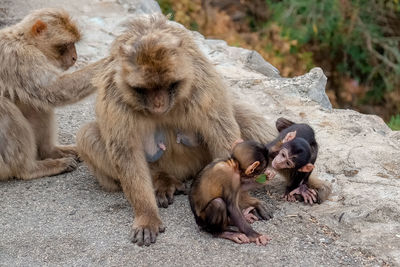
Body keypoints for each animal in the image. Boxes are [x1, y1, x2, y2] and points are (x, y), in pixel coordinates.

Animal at [0, 8, 104, 181]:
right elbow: (55, 89)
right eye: (66, 44)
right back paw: (29, 169)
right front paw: (113, 60)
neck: (25, 41)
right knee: (5, 107)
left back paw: (50, 151)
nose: (75, 58)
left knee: (36, 104)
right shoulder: (20, 57)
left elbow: (47, 94)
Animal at [76, 15, 276, 247]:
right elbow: (126, 152)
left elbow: (221, 132)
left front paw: (244, 202)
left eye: (168, 84)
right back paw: (163, 181)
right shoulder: (115, 94)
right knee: (87, 136)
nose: (159, 104)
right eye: (145, 89)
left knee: (243, 116)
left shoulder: (202, 84)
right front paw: (146, 215)